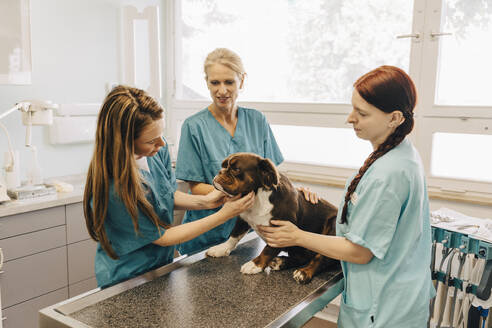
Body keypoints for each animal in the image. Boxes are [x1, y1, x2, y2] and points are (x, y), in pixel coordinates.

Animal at [207, 152, 338, 284]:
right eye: (224, 166)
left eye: (236, 169)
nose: (221, 171)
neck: (258, 197)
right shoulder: (243, 219)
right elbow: (234, 236)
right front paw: (221, 248)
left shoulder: (280, 230)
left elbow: (268, 250)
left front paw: (255, 264)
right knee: (304, 257)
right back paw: (280, 262)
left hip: (333, 227)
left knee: (320, 258)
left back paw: (304, 272)